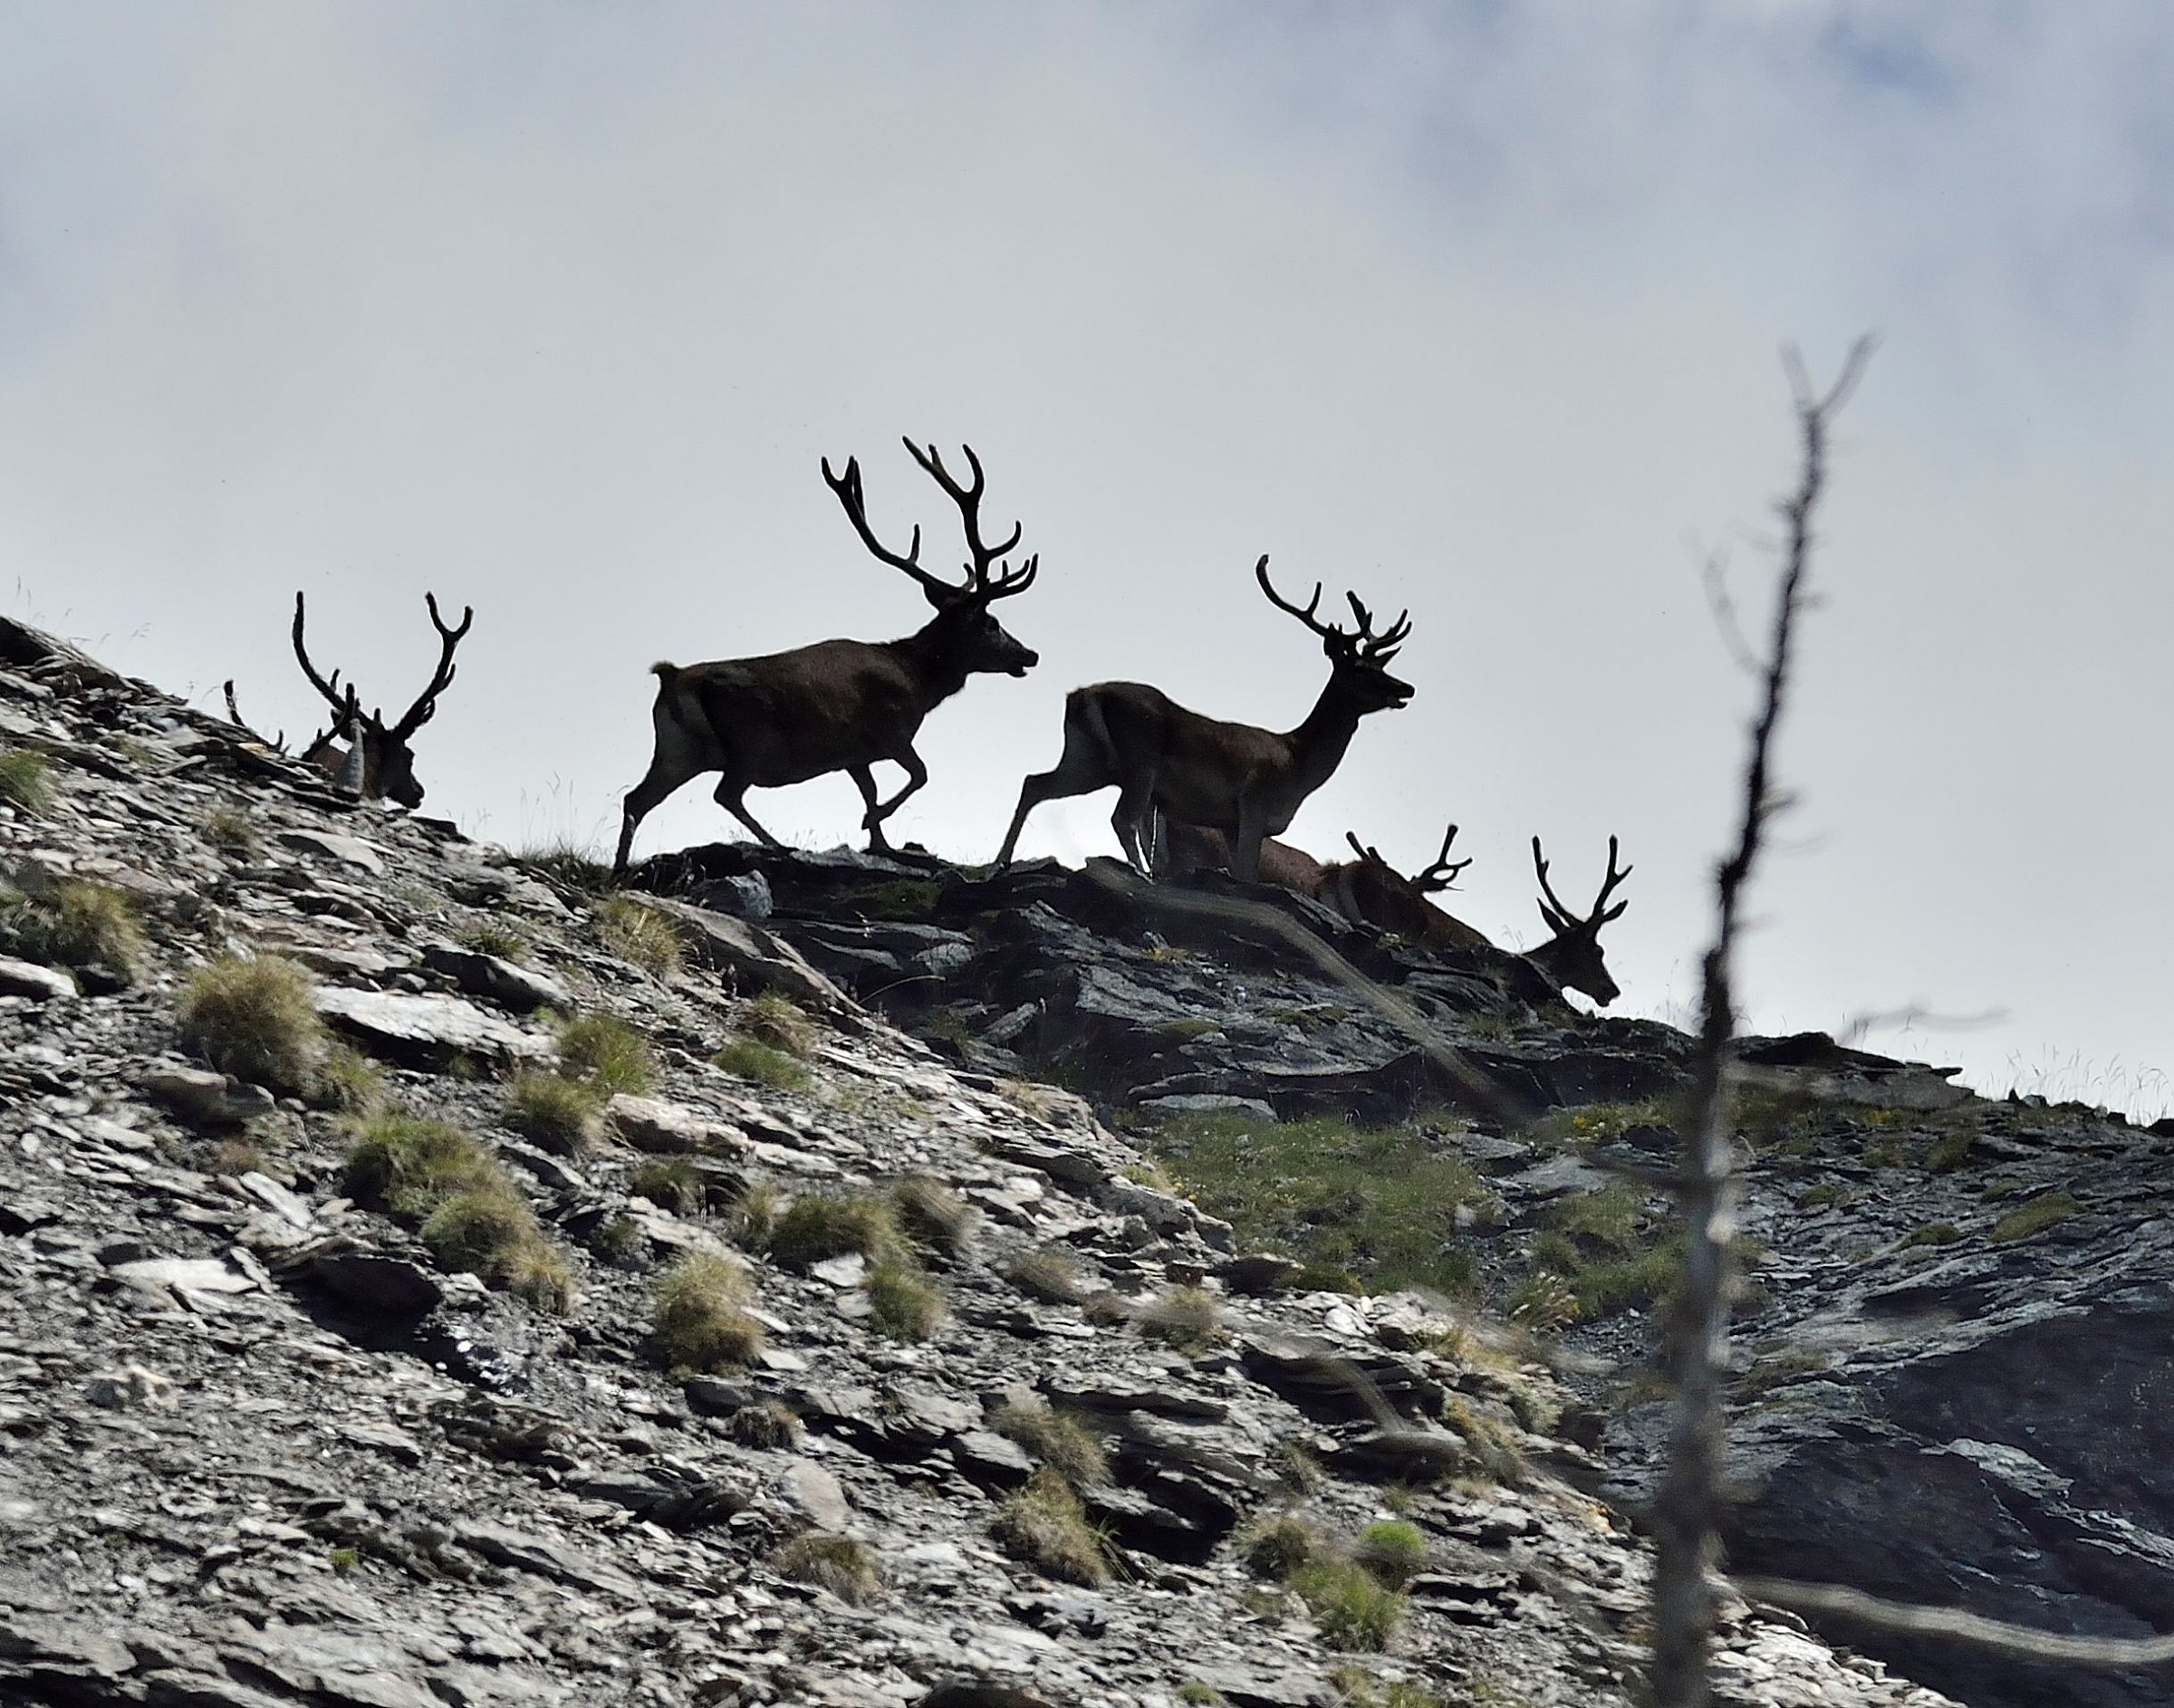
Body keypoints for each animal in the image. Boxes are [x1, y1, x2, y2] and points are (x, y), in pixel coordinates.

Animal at [613, 439, 1039, 878]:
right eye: (991, 622)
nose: (1030, 654)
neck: (919, 679)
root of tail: (672, 677)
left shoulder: (855, 756)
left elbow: (870, 789)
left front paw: (880, 841)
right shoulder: (892, 730)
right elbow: (919, 775)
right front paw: (871, 824)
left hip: (676, 751)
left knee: (637, 799)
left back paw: (619, 871)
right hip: (748, 742)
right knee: (725, 793)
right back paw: (776, 845)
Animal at [992, 558, 1413, 880]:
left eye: (1382, 665)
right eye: (1361, 669)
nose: (1407, 688)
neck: (1299, 764)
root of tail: (1082, 695)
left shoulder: (1229, 822)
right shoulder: (1253, 804)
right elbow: (1247, 877)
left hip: (1088, 760)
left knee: (1035, 783)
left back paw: (1001, 862)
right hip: (1139, 760)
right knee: (1121, 818)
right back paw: (1141, 874)